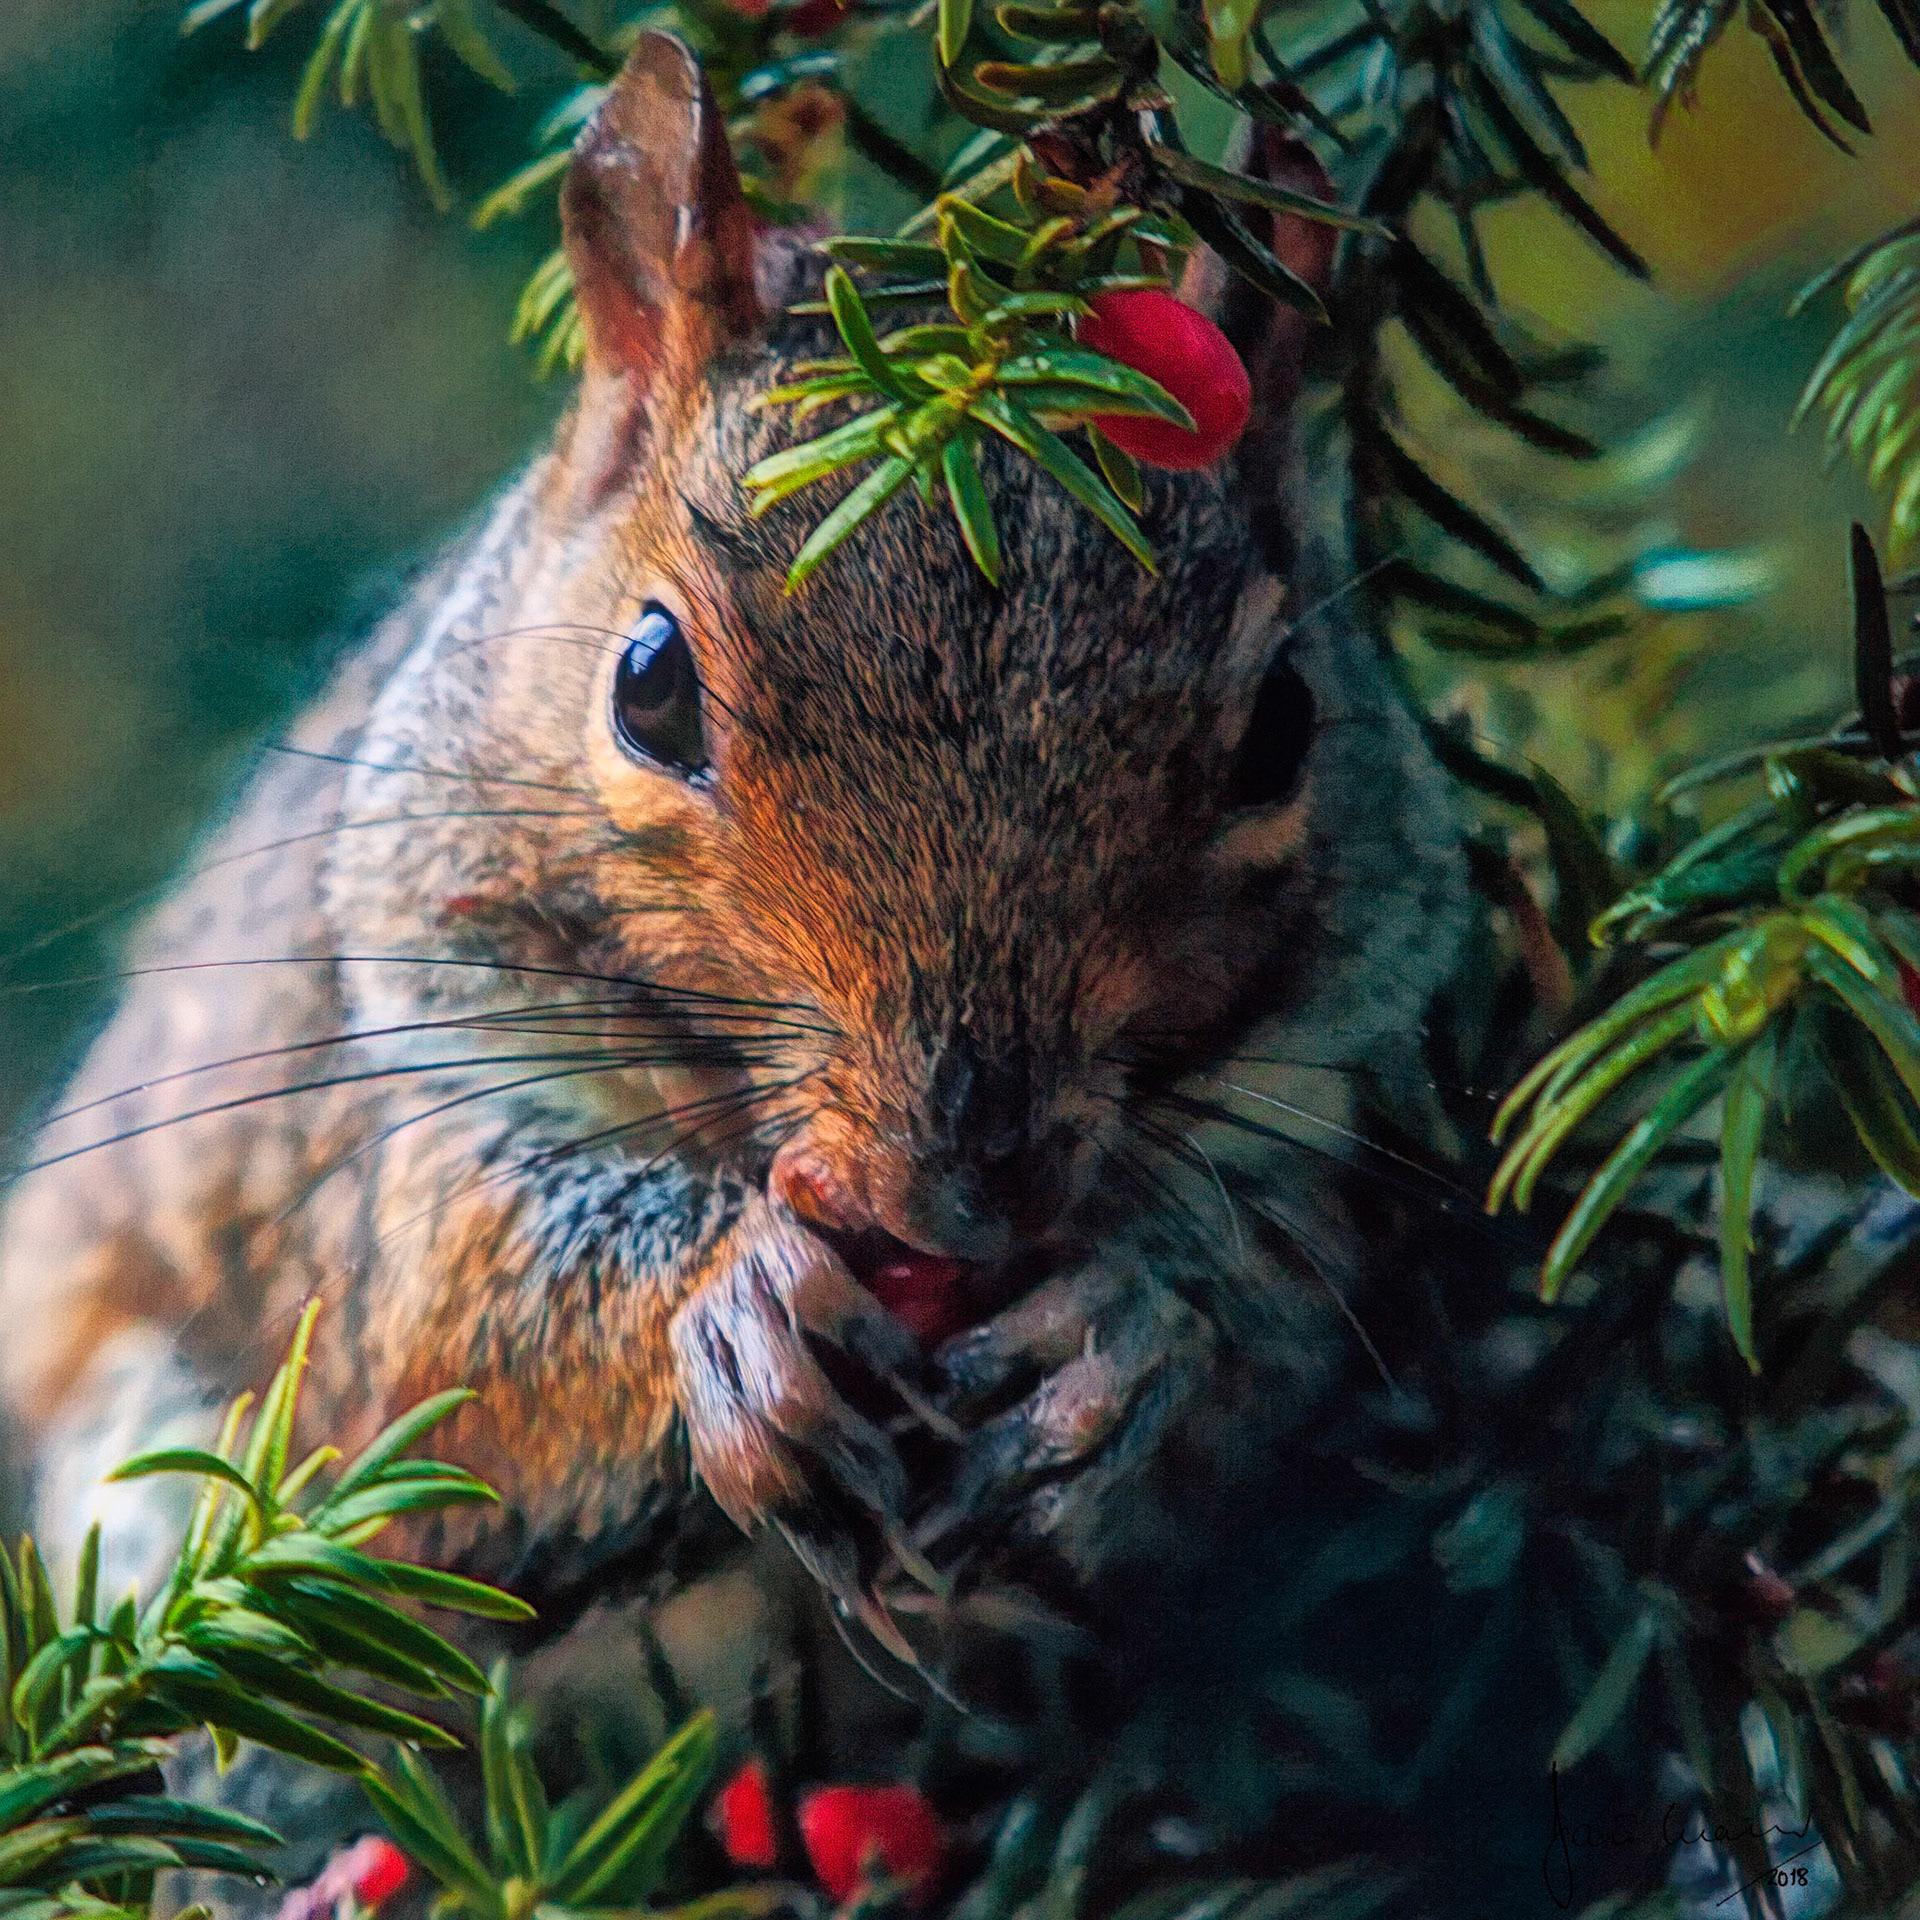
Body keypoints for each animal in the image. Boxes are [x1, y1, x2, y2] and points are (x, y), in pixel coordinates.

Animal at [0, 28, 1469, 1882]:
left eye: (1283, 730)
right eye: (647, 688)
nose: (962, 1181)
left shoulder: (1318, 1106)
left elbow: (1264, 1335)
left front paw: (1126, 1333)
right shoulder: (397, 1094)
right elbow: (459, 1325)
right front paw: (735, 1306)